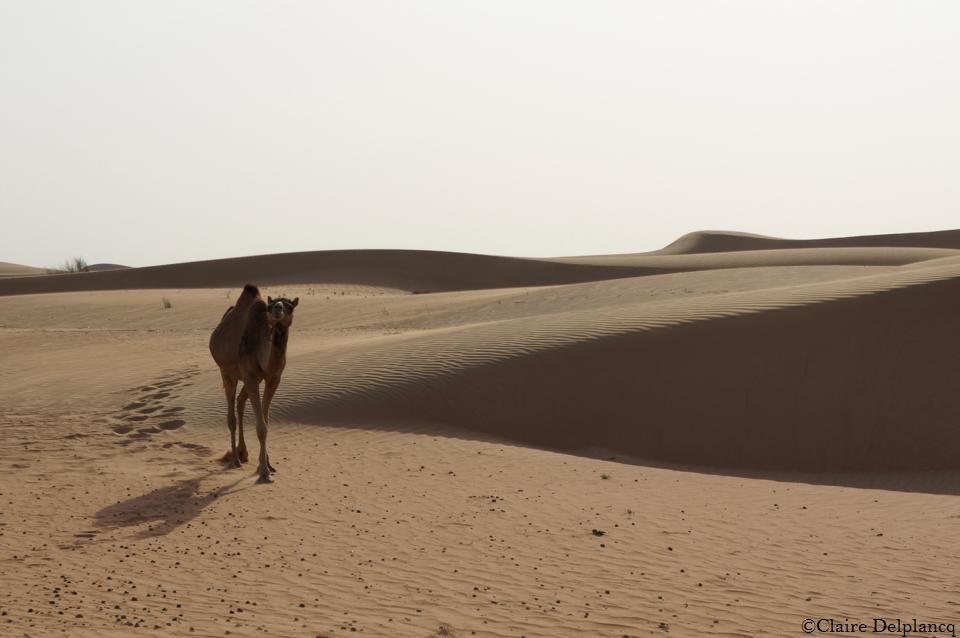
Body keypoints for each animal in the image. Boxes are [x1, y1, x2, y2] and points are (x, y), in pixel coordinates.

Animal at [209, 284, 298, 483]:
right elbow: (261, 427)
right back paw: (235, 459)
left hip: (245, 377)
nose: (277, 309)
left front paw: (267, 465)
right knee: (231, 415)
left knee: (240, 402)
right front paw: (264, 473)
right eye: (270, 306)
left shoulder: (273, 378)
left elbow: (265, 421)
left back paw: (243, 453)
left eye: (290, 306)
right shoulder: (250, 376)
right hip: (227, 372)